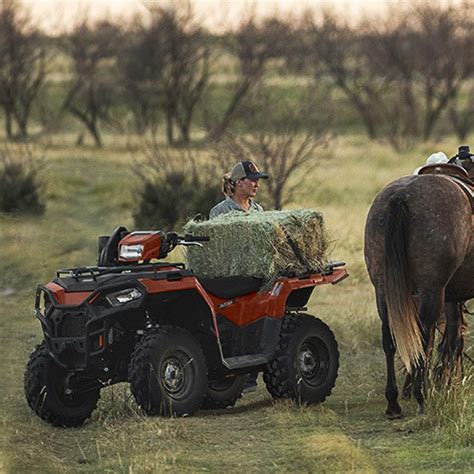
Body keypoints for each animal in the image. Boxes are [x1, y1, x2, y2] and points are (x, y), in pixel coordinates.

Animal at [364, 150, 472, 416]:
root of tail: (400, 197)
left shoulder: (452, 298)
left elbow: (452, 338)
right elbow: (450, 340)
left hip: (383, 291)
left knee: (391, 340)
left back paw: (394, 401)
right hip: (431, 292)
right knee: (422, 340)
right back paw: (420, 396)